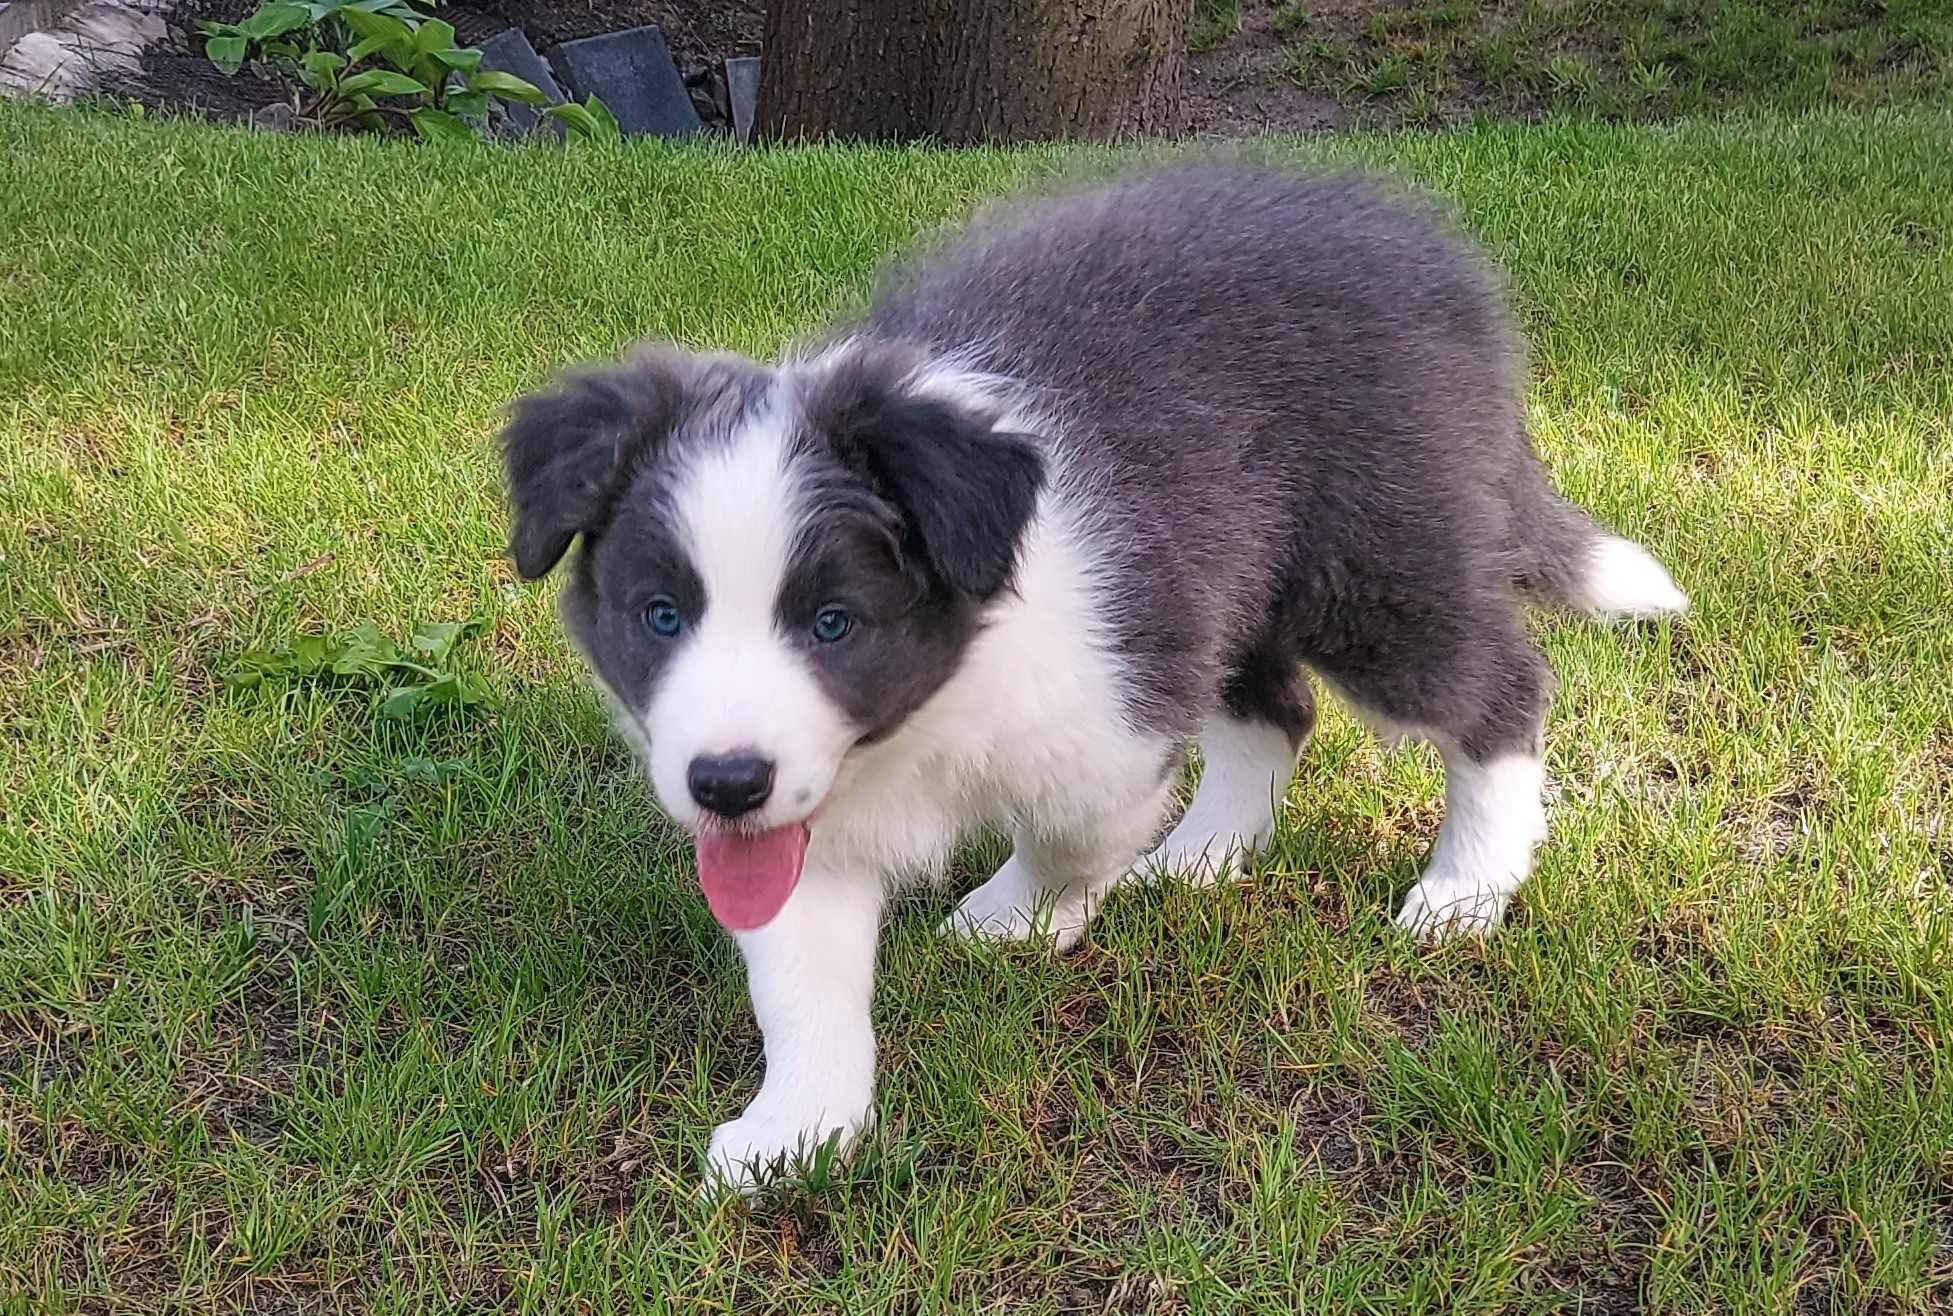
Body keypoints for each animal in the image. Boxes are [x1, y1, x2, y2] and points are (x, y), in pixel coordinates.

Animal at [503, 164, 1695, 1187]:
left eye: (834, 623)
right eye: (661, 615)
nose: (724, 783)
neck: (924, 718)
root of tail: (1423, 251)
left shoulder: (1109, 711)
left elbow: (1070, 839)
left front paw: (1017, 922)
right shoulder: (811, 810)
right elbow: (801, 975)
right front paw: (799, 1127)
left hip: (1370, 559)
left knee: (1497, 691)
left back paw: (1464, 889)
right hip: (1221, 580)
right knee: (1278, 709)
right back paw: (1206, 854)